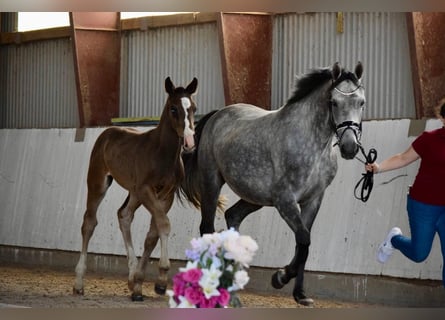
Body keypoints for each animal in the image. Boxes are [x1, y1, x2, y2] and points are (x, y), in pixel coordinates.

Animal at [179, 62, 366, 304]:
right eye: (334, 102)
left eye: (361, 102)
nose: (349, 147)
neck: (313, 144)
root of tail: (216, 116)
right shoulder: (285, 201)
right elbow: (303, 240)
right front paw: (280, 277)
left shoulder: (313, 200)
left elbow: (303, 244)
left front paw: (299, 294)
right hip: (211, 183)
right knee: (207, 229)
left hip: (254, 198)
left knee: (232, 216)